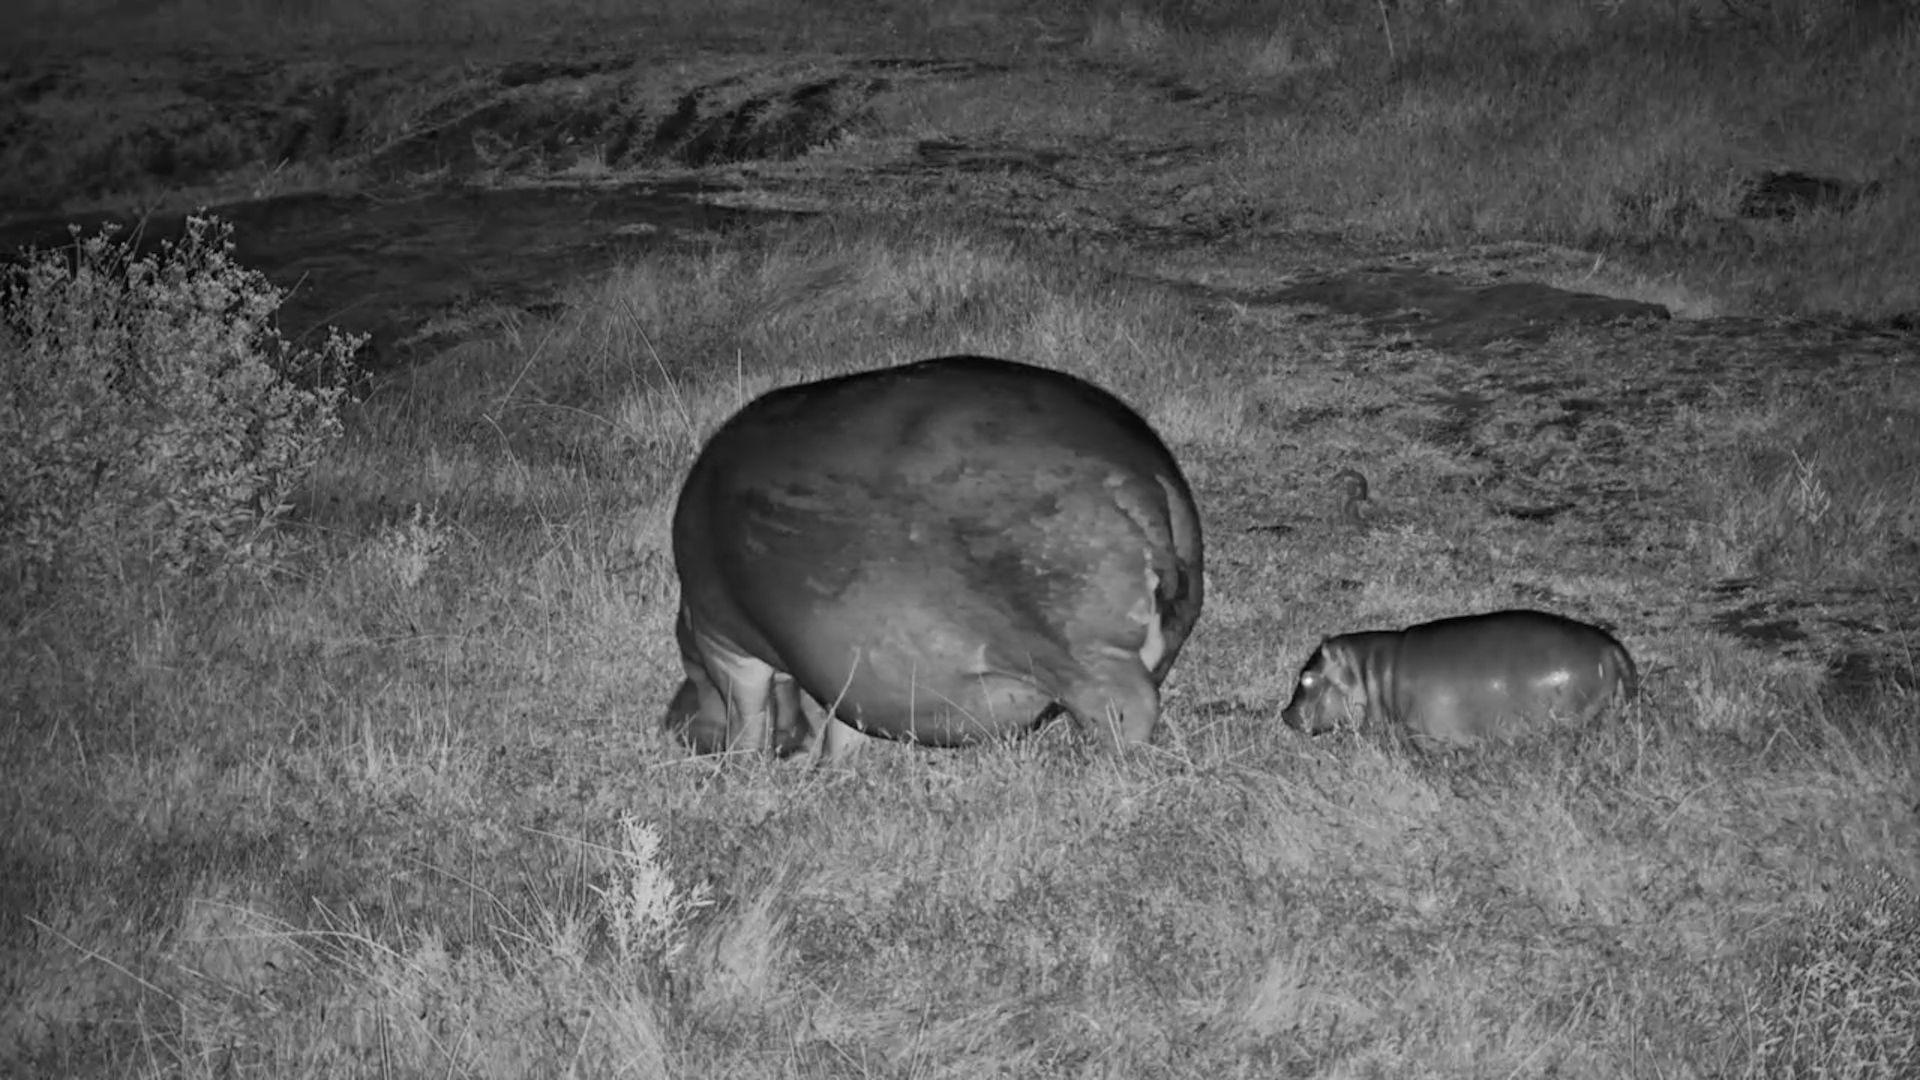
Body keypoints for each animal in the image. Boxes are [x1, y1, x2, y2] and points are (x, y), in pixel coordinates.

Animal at [666, 355, 1205, 760]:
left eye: (689, 667)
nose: (670, 723)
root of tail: (1146, 481)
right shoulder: (845, 671)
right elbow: (843, 730)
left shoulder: (723, 643)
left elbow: (747, 714)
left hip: (1085, 652)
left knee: (1126, 709)